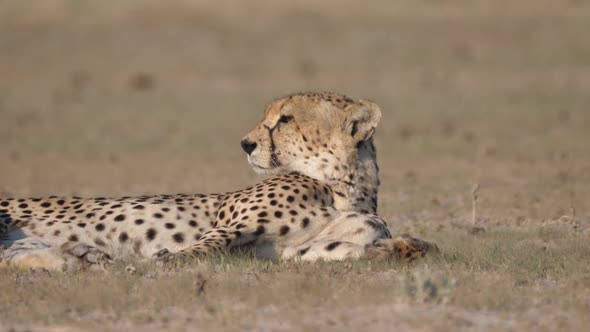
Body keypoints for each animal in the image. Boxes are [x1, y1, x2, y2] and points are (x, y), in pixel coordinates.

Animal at [0, 92, 434, 272]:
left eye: (286, 119)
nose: (246, 143)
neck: (342, 189)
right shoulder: (227, 226)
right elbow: (194, 251)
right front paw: (159, 261)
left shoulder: (291, 252)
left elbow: (359, 247)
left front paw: (401, 248)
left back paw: (79, 257)